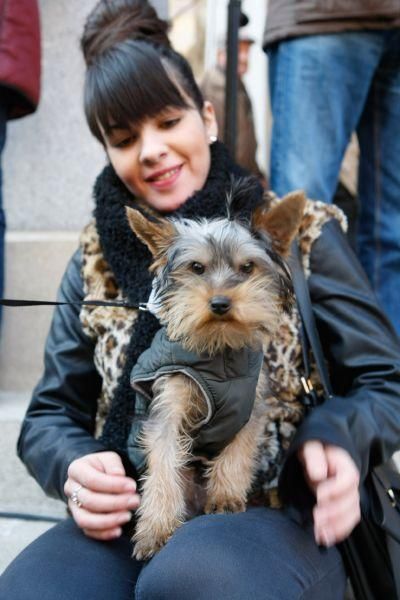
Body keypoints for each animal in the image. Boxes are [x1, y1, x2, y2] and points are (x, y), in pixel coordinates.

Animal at [126, 182, 304, 556]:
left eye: (248, 268)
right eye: (197, 268)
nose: (220, 302)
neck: (218, 352)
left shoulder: (250, 409)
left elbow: (237, 452)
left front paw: (225, 497)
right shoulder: (168, 404)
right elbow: (163, 464)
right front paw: (155, 529)